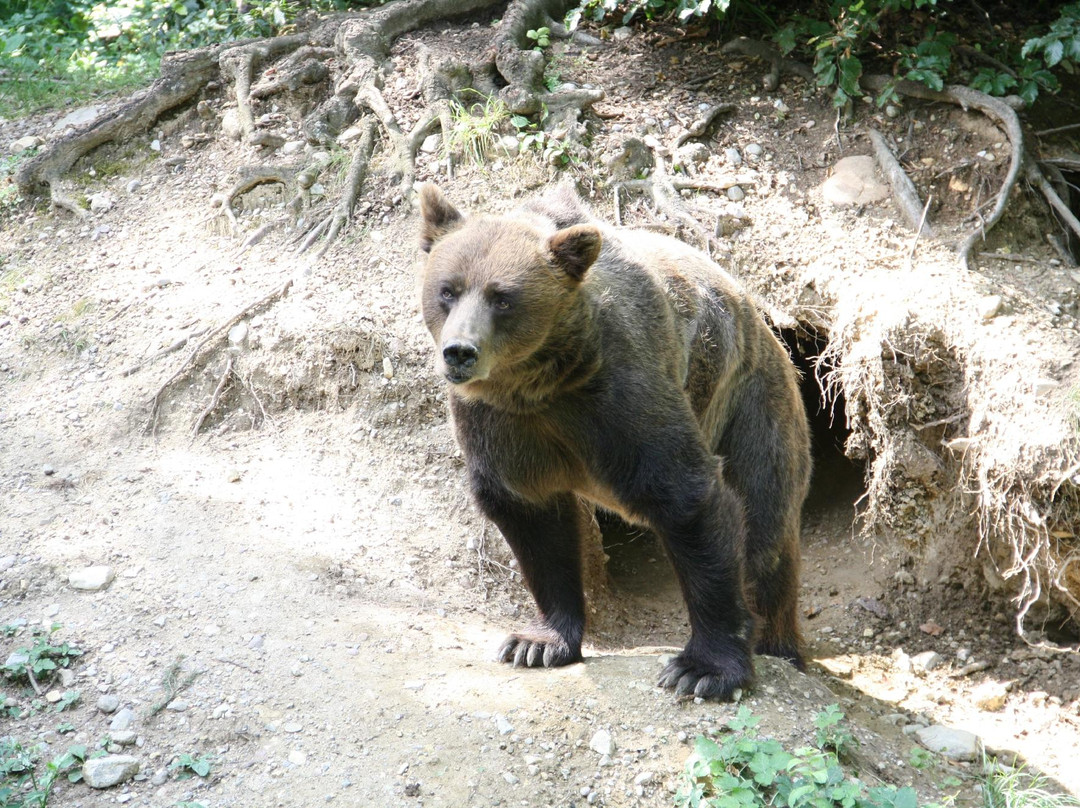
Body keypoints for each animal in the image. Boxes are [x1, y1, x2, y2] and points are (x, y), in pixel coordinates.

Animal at [416, 182, 807, 699]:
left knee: (766, 534)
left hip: (751, 406)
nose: (460, 351)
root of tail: (770, 328)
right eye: (448, 290)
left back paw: (781, 648)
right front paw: (537, 643)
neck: (540, 385)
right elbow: (531, 517)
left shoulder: (622, 398)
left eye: (503, 298)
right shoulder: (501, 425)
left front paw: (702, 669)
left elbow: (688, 497)